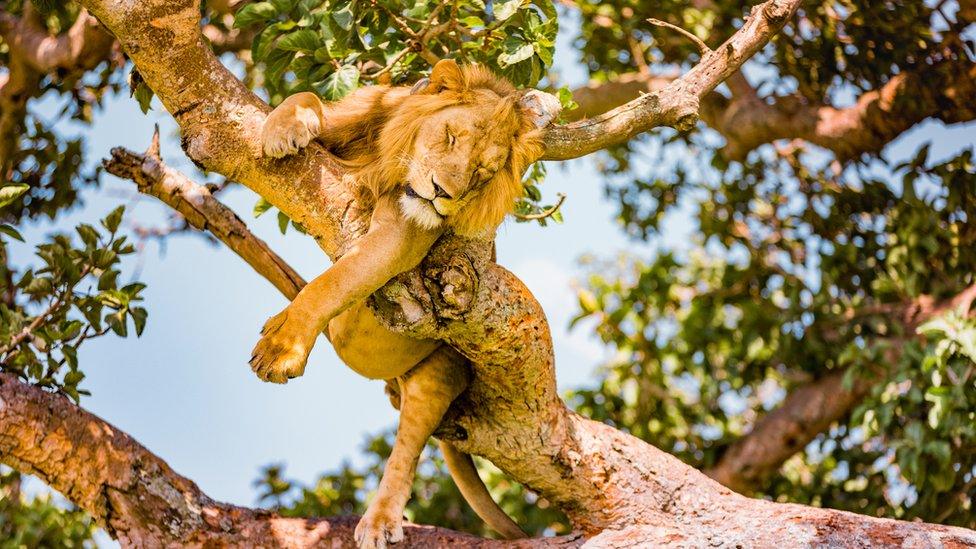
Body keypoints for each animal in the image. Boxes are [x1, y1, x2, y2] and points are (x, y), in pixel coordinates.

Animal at [248, 60, 560, 548]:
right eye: (451, 136)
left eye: (483, 172)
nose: (442, 193)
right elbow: (308, 98)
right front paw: (282, 128)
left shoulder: (407, 230)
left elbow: (338, 281)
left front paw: (283, 348)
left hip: (439, 375)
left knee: (407, 451)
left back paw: (380, 521)